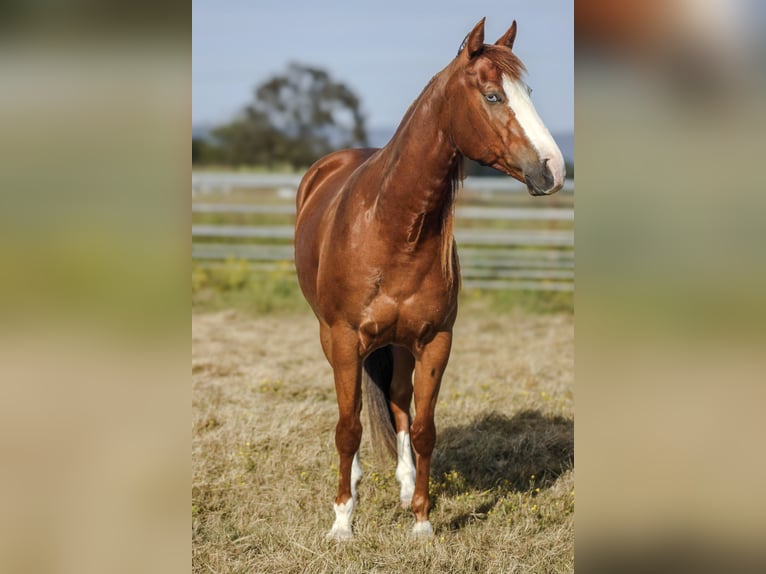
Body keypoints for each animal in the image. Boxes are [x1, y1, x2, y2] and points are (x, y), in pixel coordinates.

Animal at [294, 17, 565, 540]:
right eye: (493, 96)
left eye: (529, 92)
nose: (554, 169)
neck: (392, 227)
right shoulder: (344, 338)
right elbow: (348, 427)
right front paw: (342, 523)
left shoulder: (436, 340)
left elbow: (423, 427)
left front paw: (421, 519)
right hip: (329, 336)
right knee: (353, 413)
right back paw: (354, 484)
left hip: (400, 343)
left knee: (399, 401)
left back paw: (402, 487)